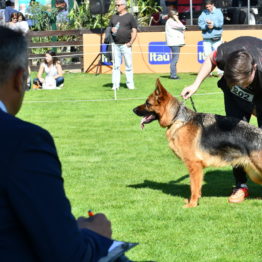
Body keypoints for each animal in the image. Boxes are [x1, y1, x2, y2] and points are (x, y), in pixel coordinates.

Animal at [132, 79, 262, 208]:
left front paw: (192, 204)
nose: (133, 110)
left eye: (147, 103)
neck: (177, 119)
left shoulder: (194, 166)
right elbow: (197, 188)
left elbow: (194, 187)